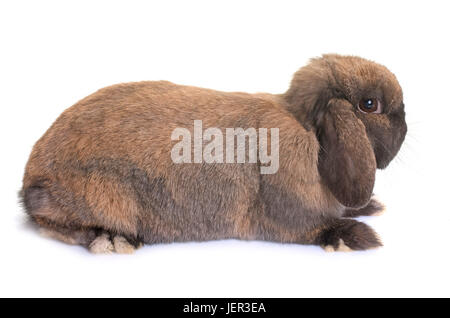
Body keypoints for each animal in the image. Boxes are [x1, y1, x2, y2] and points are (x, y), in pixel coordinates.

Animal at [20, 54, 408, 253]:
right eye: (369, 105)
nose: (405, 126)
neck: (308, 128)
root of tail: (32, 178)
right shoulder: (286, 217)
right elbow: (313, 229)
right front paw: (356, 237)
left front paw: (371, 207)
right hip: (101, 196)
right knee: (50, 224)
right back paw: (112, 240)